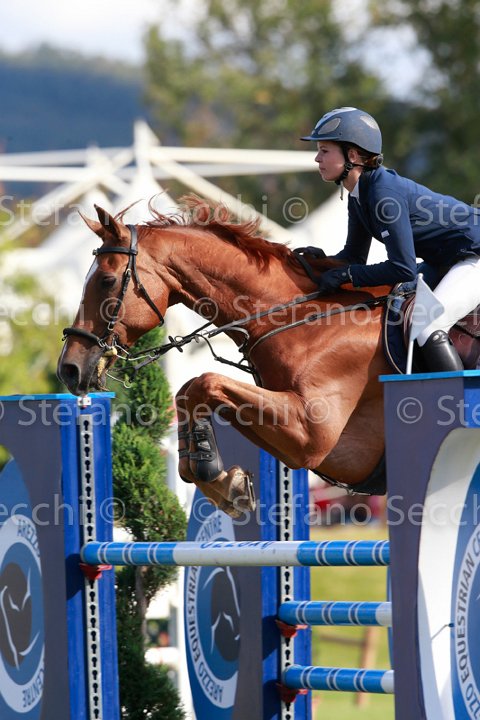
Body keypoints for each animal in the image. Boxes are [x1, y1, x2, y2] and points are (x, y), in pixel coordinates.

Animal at [57, 196, 393, 517]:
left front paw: (219, 478)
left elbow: (205, 382)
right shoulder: (292, 438)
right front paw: (220, 481)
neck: (301, 315)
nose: (68, 369)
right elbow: (188, 391)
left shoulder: (311, 435)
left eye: (107, 280)